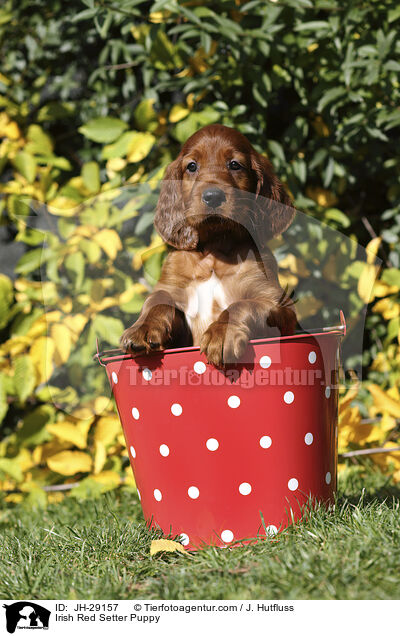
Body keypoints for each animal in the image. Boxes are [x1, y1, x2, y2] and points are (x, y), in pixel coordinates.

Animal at [121, 123, 296, 368]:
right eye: (192, 166)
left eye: (235, 164)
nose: (212, 196)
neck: (214, 249)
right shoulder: (173, 288)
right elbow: (157, 300)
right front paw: (142, 329)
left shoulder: (277, 302)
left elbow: (242, 305)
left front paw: (220, 334)